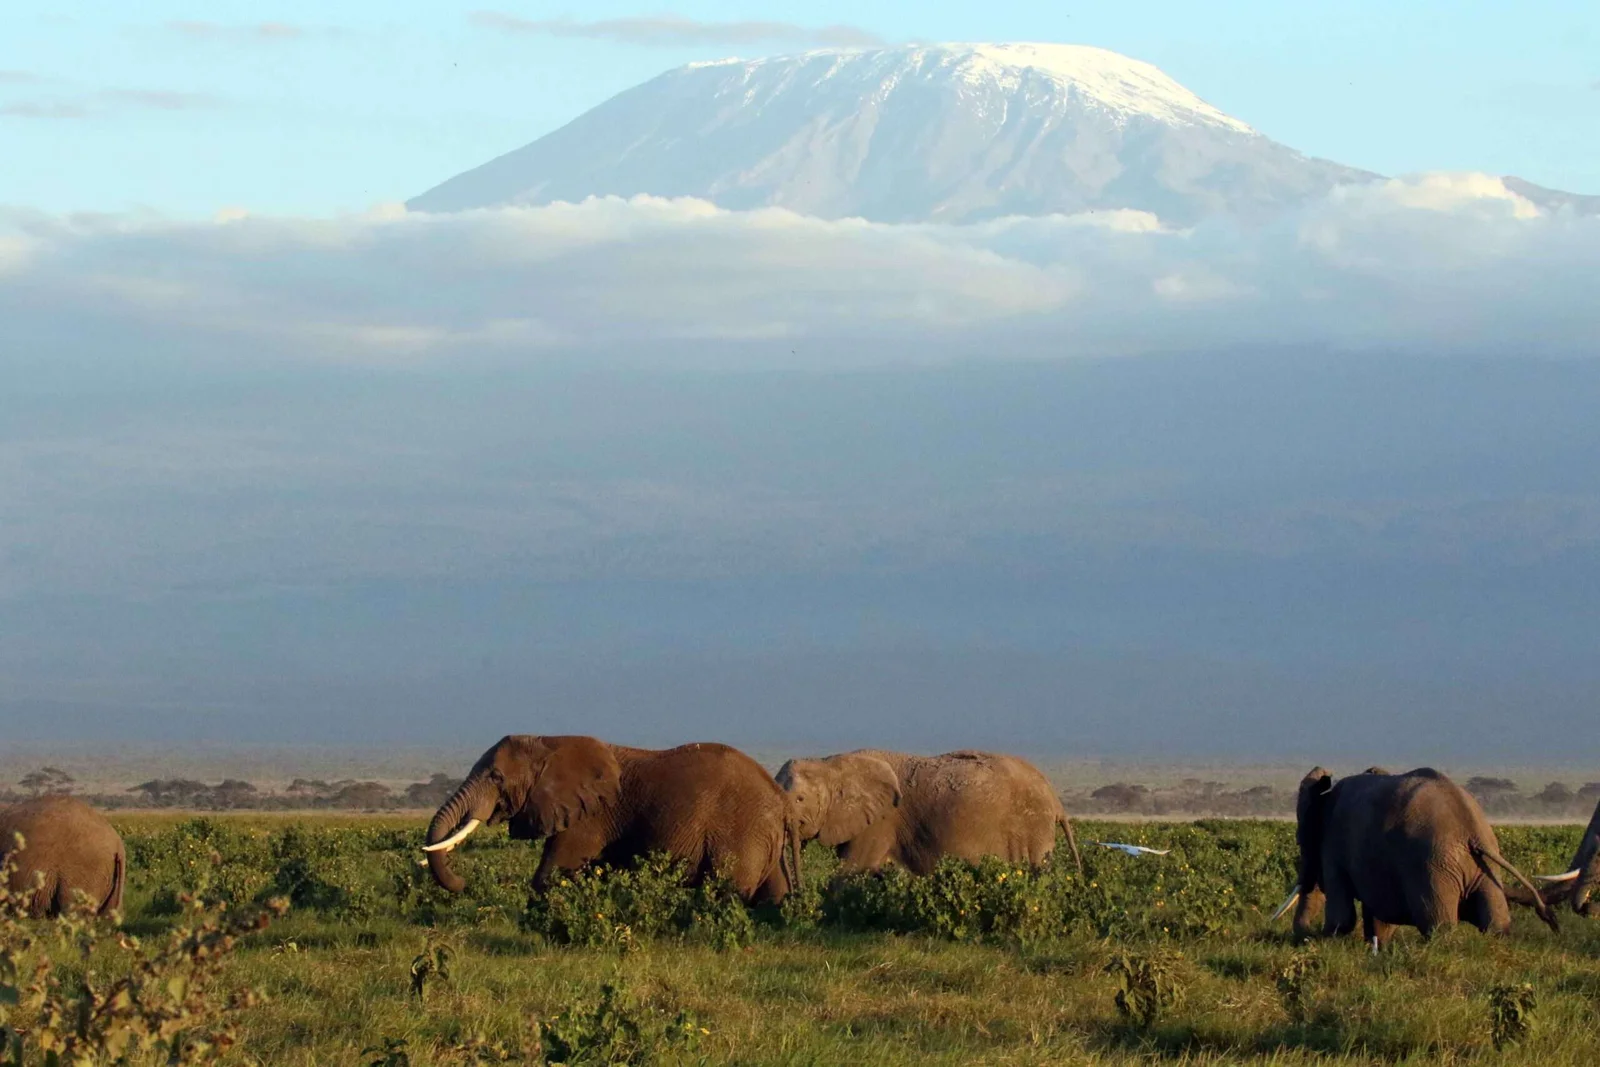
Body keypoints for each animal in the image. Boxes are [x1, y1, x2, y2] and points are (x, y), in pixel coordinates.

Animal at [422, 735, 800, 903]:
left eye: (497, 777)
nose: (463, 883)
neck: (550, 743)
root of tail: (782, 801)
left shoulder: (589, 817)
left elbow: (552, 874)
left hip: (740, 832)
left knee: (727, 888)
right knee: (773, 891)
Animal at [774, 749, 1083, 876]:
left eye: (800, 798)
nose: (796, 898)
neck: (830, 762)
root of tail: (1054, 797)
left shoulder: (880, 822)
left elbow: (852, 870)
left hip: (1032, 827)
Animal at [1273, 766, 1557, 947]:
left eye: (1300, 837)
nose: (1304, 939)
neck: (1326, 792)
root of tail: (1471, 833)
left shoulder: (1334, 845)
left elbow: (1342, 916)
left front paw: (1329, 940)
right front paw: (1375, 946)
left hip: (1432, 867)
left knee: (1439, 925)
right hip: (1483, 867)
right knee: (1496, 923)